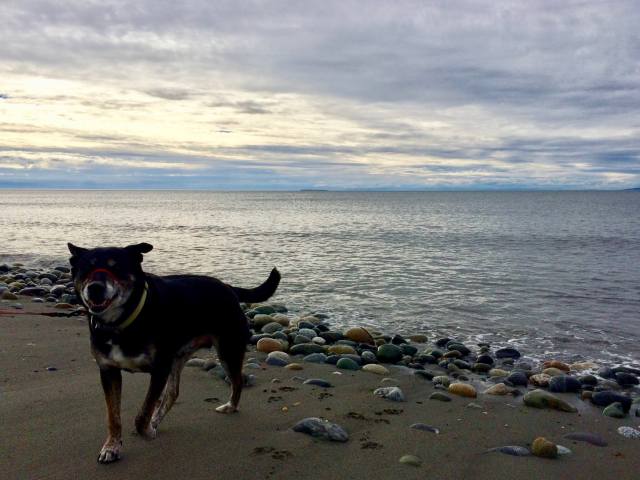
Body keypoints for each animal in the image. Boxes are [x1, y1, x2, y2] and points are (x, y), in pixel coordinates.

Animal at [67, 242, 280, 464]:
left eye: (116, 267)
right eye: (86, 269)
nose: (95, 288)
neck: (121, 323)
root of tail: (228, 287)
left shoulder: (160, 368)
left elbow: (143, 413)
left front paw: (146, 431)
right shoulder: (108, 371)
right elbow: (113, 416)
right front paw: (111, 446)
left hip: (227, 349)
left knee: (237, 381)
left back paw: (230, 406)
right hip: (179, 356)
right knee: (173, 392)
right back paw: (157, 419)